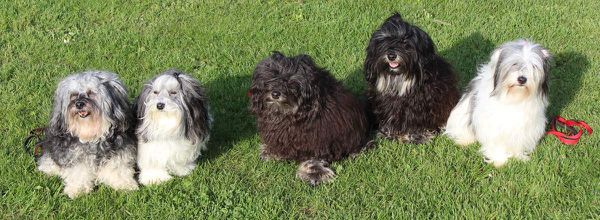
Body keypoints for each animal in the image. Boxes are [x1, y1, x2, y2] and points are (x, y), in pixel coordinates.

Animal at [38, 71, 139, 199]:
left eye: (91, 93)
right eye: (74, 95)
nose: (79, 104)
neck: (90, 134)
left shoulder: (119, 151)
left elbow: (118, 169)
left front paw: (124, 184)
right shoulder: (75, 155)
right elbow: (79, 171)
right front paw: (78, 189)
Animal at [248, 51, 370, 186]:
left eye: (291, 82)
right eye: (271, 77)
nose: (275, 94)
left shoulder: (319, 137)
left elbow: (313, 157)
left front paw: (314, 172)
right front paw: (271, 152)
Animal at [364, 12, 458, 144]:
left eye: (405, 43)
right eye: (385, 41)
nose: (391, 55)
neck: (399, 79)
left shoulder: (422, 106)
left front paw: (417, 136)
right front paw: (388, 133)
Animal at [448, 39, 552, 167]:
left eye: (533, 66)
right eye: (514, 64)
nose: (522, 79)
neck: (514, 97)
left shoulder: (523, 127)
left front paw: (519, 157)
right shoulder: (493, 126)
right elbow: (496, 144)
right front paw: (499, 161)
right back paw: (464, 140)